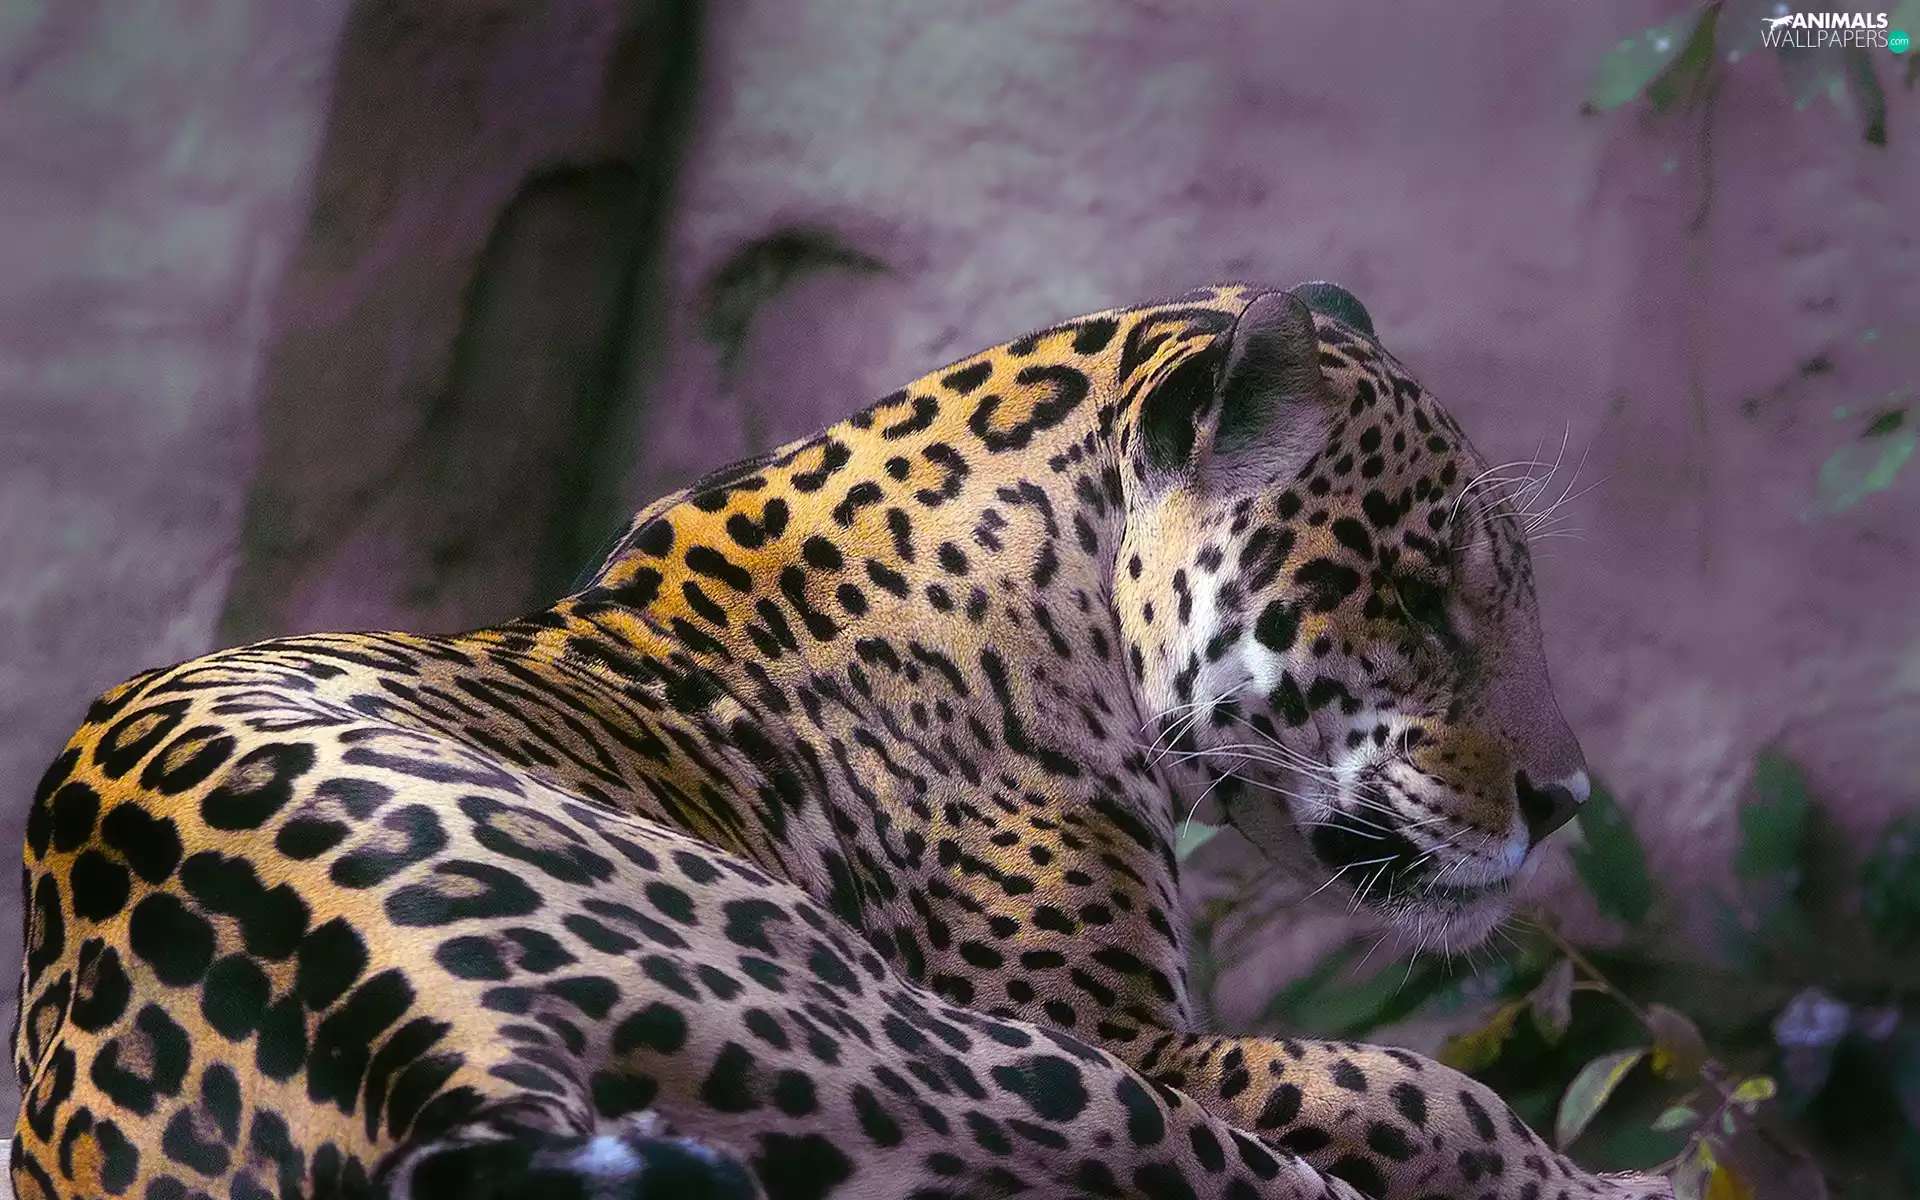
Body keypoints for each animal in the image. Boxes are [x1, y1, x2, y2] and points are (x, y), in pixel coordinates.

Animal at [10, 281, 1671, 1200]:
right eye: (1417, 596)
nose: (1566, 800)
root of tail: (416, 1017)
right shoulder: (1126, 1030)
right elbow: (1411, 1090)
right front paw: (1597, 1180)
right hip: (968, 1052)